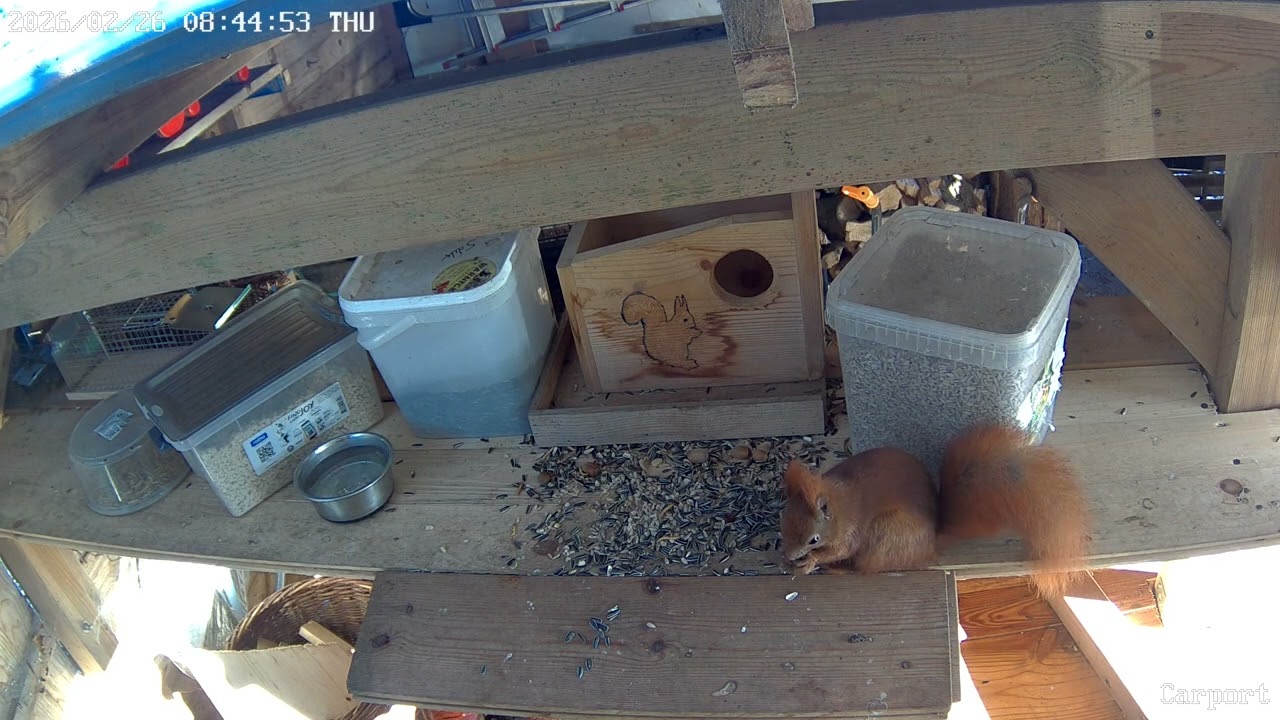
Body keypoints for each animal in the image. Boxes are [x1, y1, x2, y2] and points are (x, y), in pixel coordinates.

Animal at [781, 448, 937, 575]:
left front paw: (811, 560)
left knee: (864, 566)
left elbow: (842, 551)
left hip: (886, 535)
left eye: (814, 540)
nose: (790, 556)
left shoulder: (851, 529)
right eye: (783, 524)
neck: (840, 508)